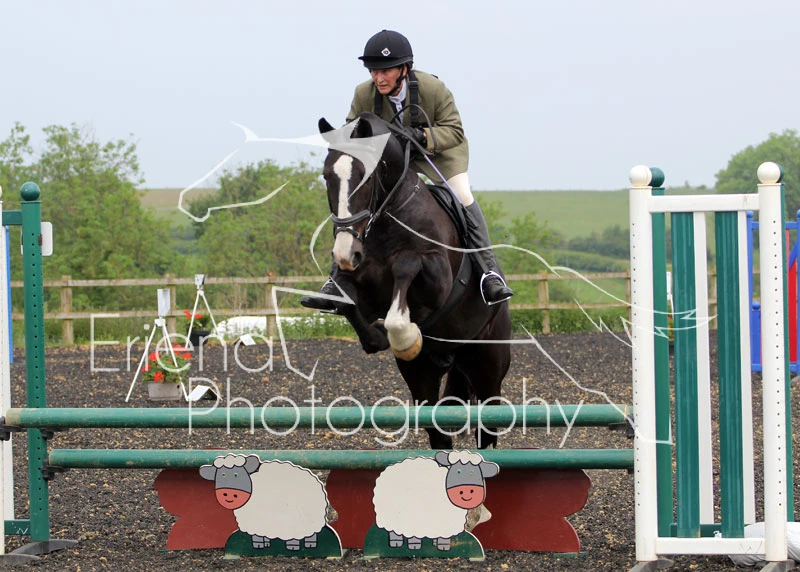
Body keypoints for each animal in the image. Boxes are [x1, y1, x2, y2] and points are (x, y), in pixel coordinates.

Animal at [317, 112, 511, 449]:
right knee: (438, 429)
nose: (345, 252)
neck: (389, 214)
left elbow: (406, 267)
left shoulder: (437, 278)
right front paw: (382, 338)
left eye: (366, 176)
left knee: (487, 427)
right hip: (423, 375)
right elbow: (349, 300)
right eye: (327, 176)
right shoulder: (362, 285)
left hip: (488, 364)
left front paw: (403, 334)